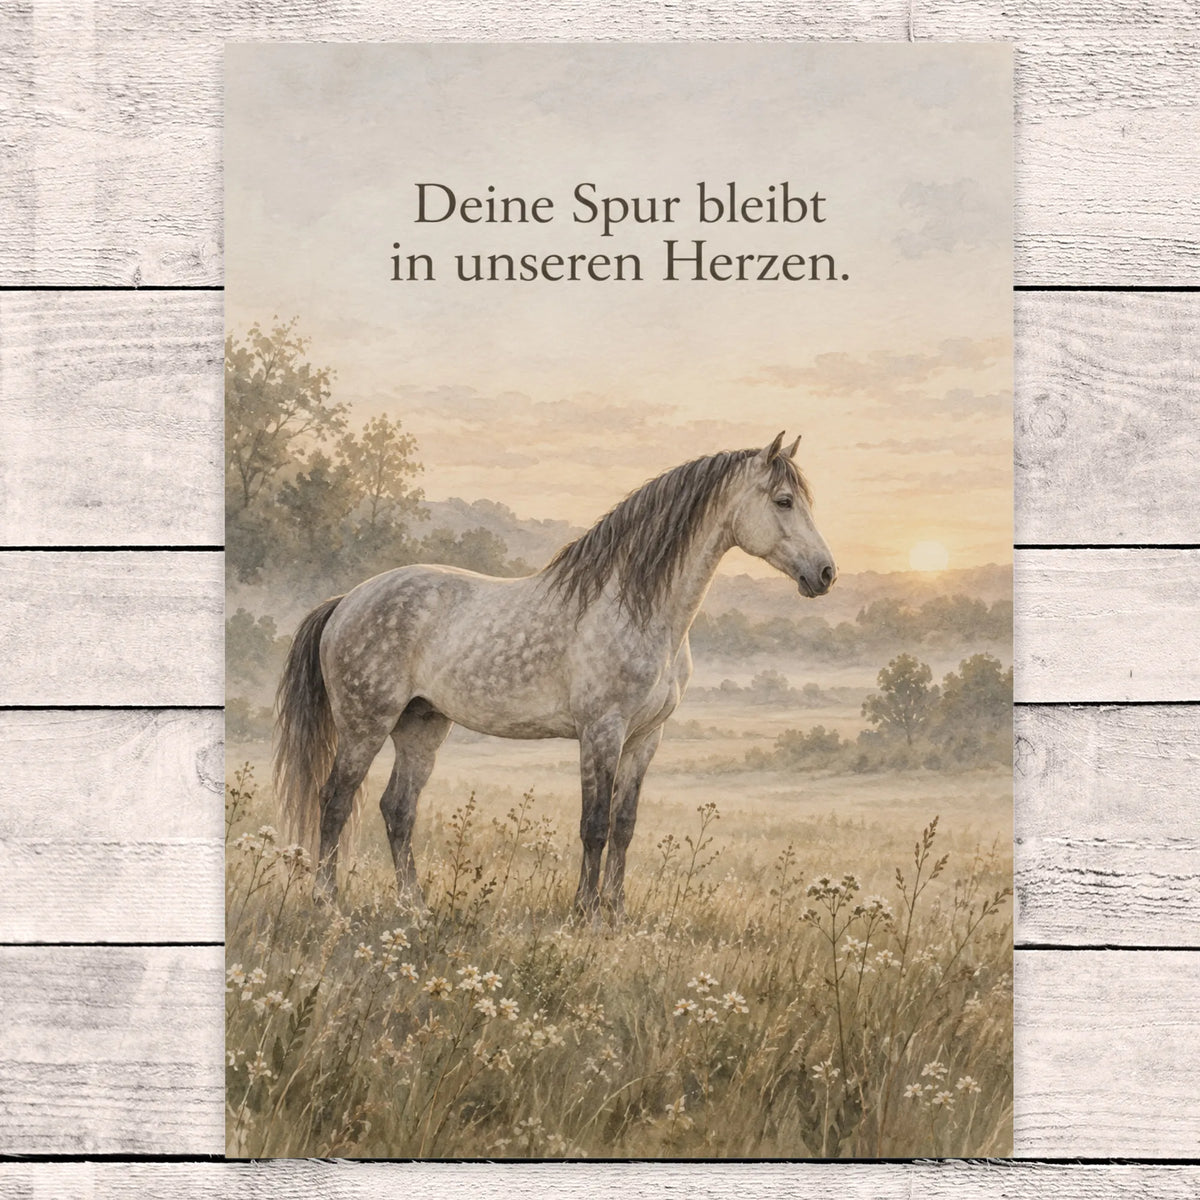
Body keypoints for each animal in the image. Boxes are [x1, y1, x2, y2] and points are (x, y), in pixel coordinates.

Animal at [273, 431, 836, 917]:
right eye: (784, 501)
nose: (826, 574)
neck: (636, 607)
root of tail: (347, 599)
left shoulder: (645, 738)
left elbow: (625, 826)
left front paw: (617, 913)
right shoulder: (601, 731)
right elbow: (595, 825)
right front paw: (584, 913)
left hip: (422, 726)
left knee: (397, 809)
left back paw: (416, 906)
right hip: (365, 724)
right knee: (335, 801)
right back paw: (327, 902)